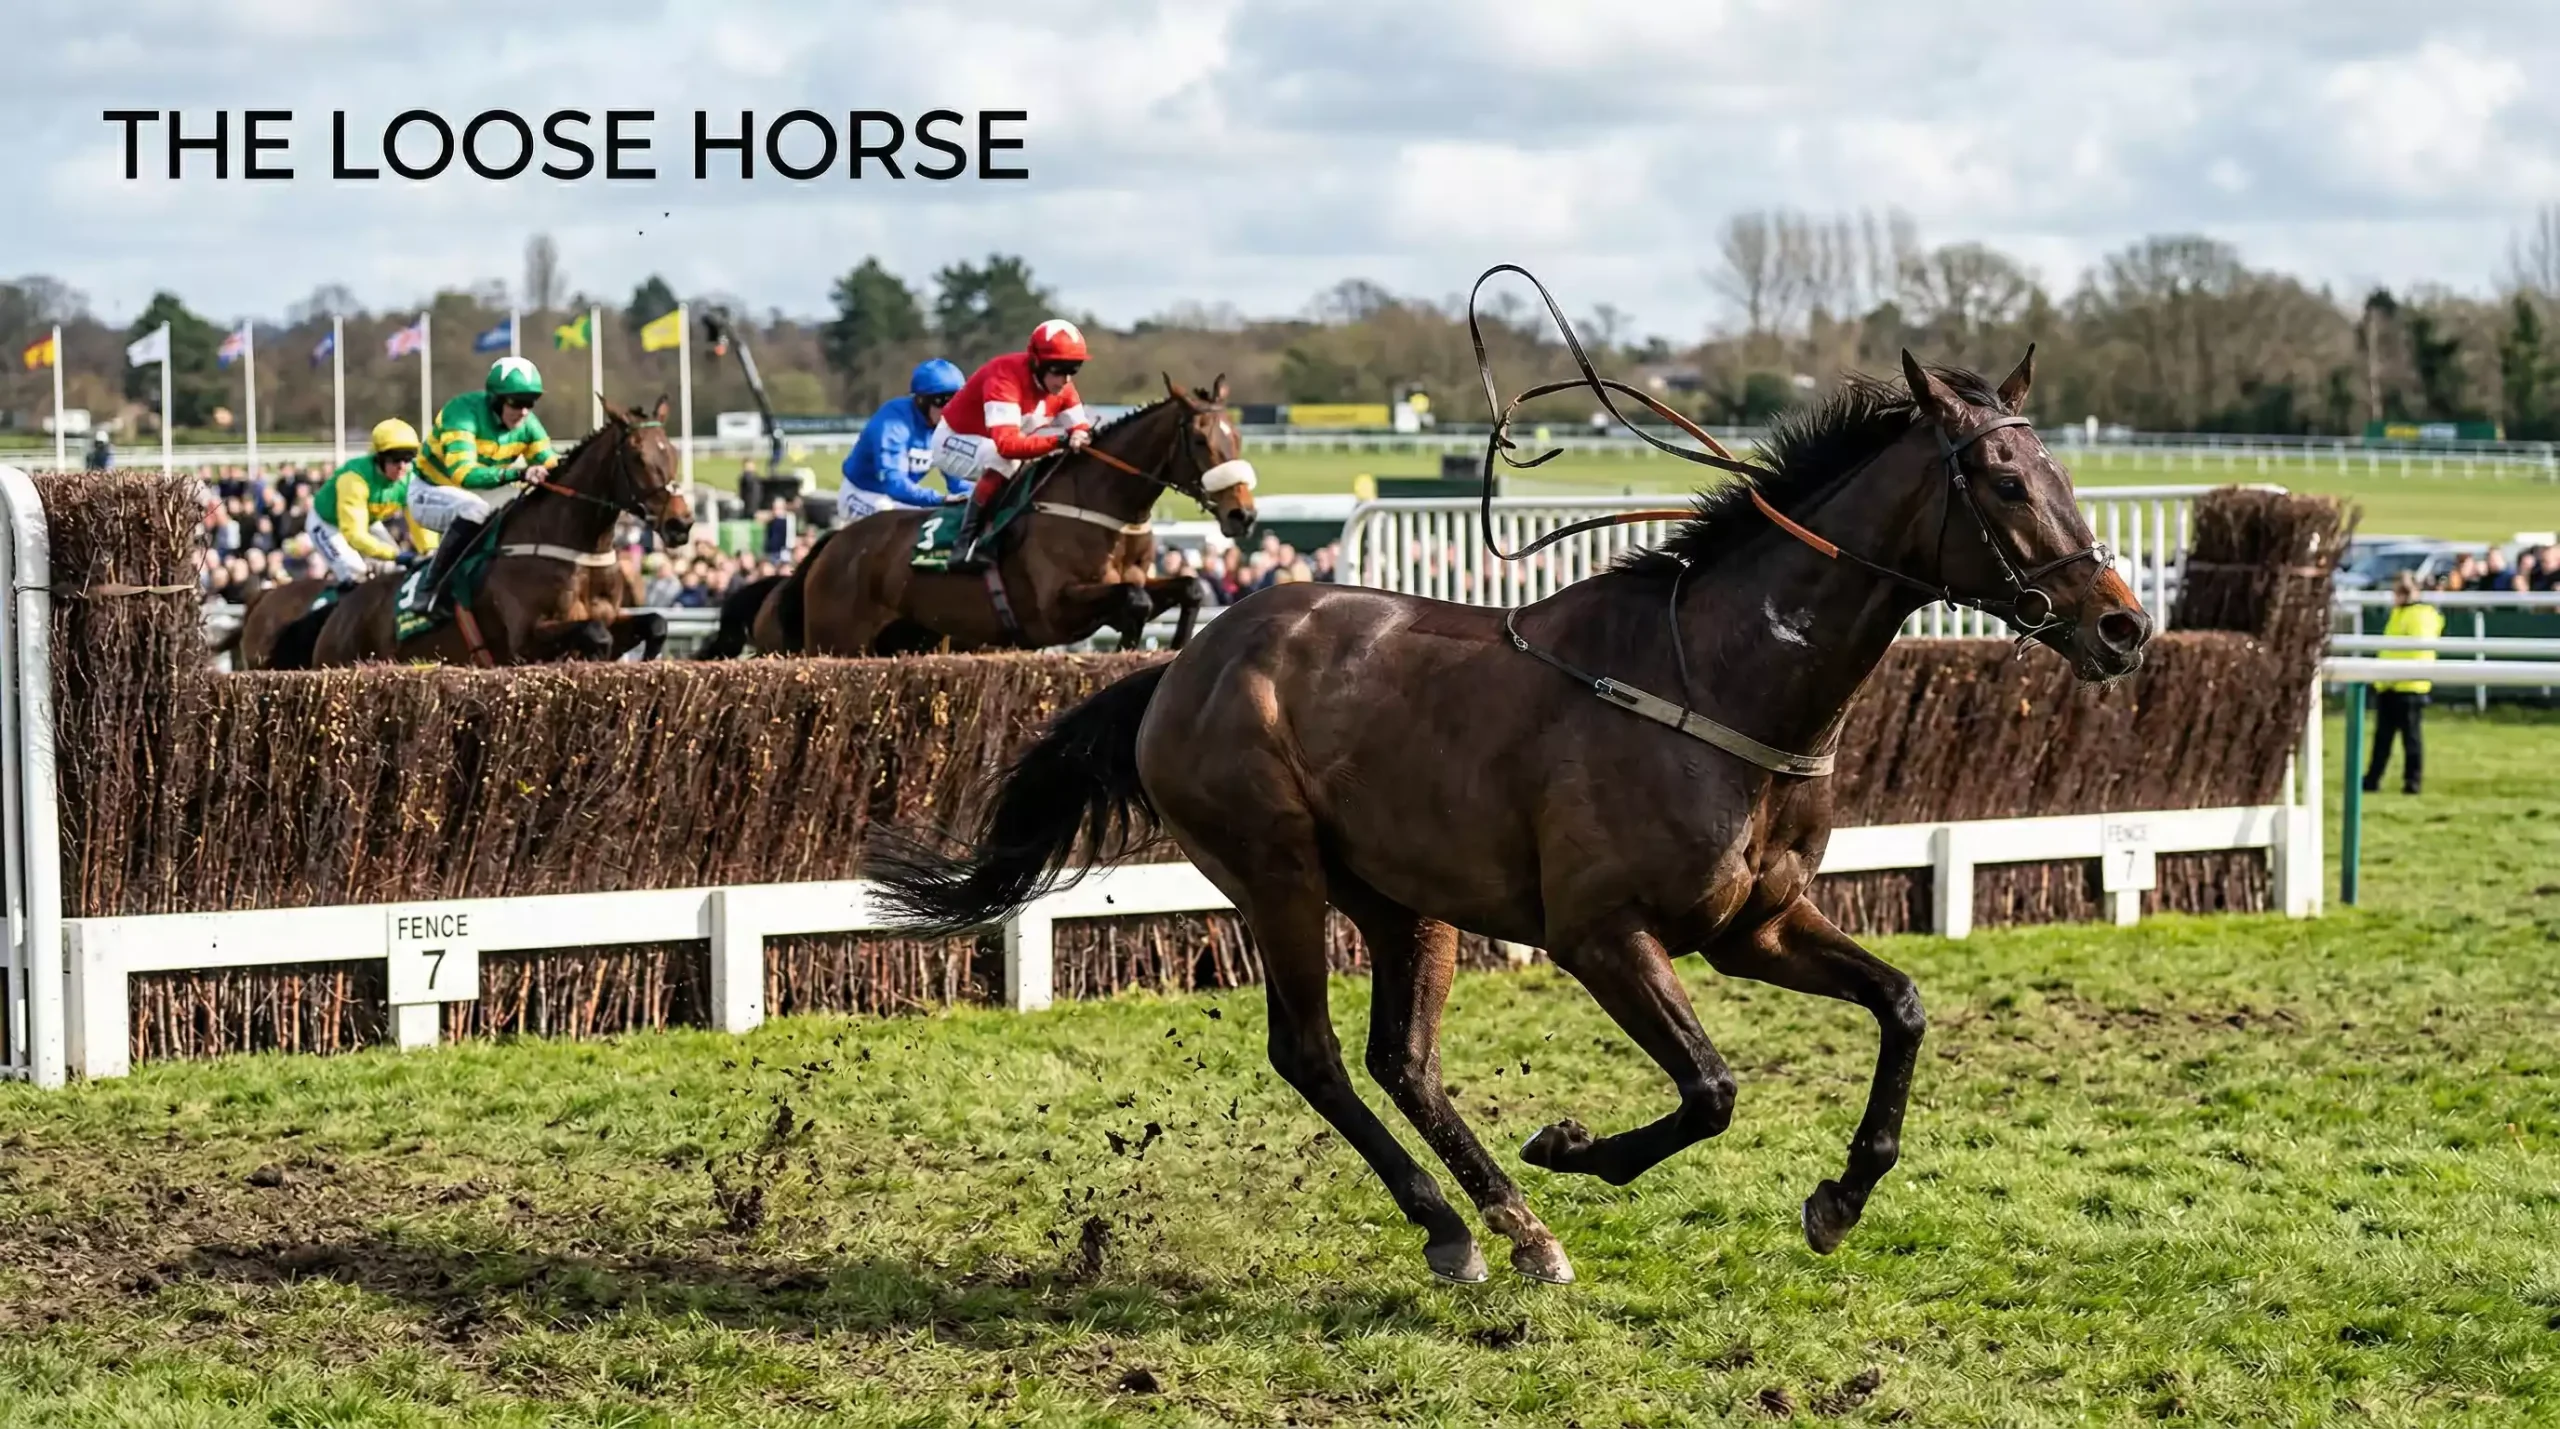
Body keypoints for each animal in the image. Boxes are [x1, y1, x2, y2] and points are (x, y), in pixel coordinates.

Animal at [301, 402, 692, 668]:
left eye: (671, 451)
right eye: (638, 456)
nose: (681, 523)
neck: (578, 549)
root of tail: (340, 610)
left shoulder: (611, 615)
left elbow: (654, 623)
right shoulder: (525, 640)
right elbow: (596, 633)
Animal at [700, 377, 1257, 659]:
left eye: (1237, 435)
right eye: (1201, 440)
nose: (1243, 514)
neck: (1106, 513)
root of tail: (829, 547)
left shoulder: (1136, 579)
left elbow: (1188, 588)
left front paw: (1174, 647)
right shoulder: (1053, 609)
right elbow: (1136, 602)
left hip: (907, 639)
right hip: (835, 642)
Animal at [869, 345, 2154, 1286]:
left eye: (2060, 475)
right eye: (2004, 483)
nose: (2123, 623)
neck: (1721, 678)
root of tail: (1183, 664)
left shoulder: (1756, 926)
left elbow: (1902, 1004)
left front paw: (1839, 1196)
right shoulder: (1601, 933)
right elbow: (1711, 1090)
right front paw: (1573, 1145)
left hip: (1406, 900)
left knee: (1402, 1057)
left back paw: (1511, 1225)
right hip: (1275, 871)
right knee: (1313, 1052)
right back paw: (1455, 1222)